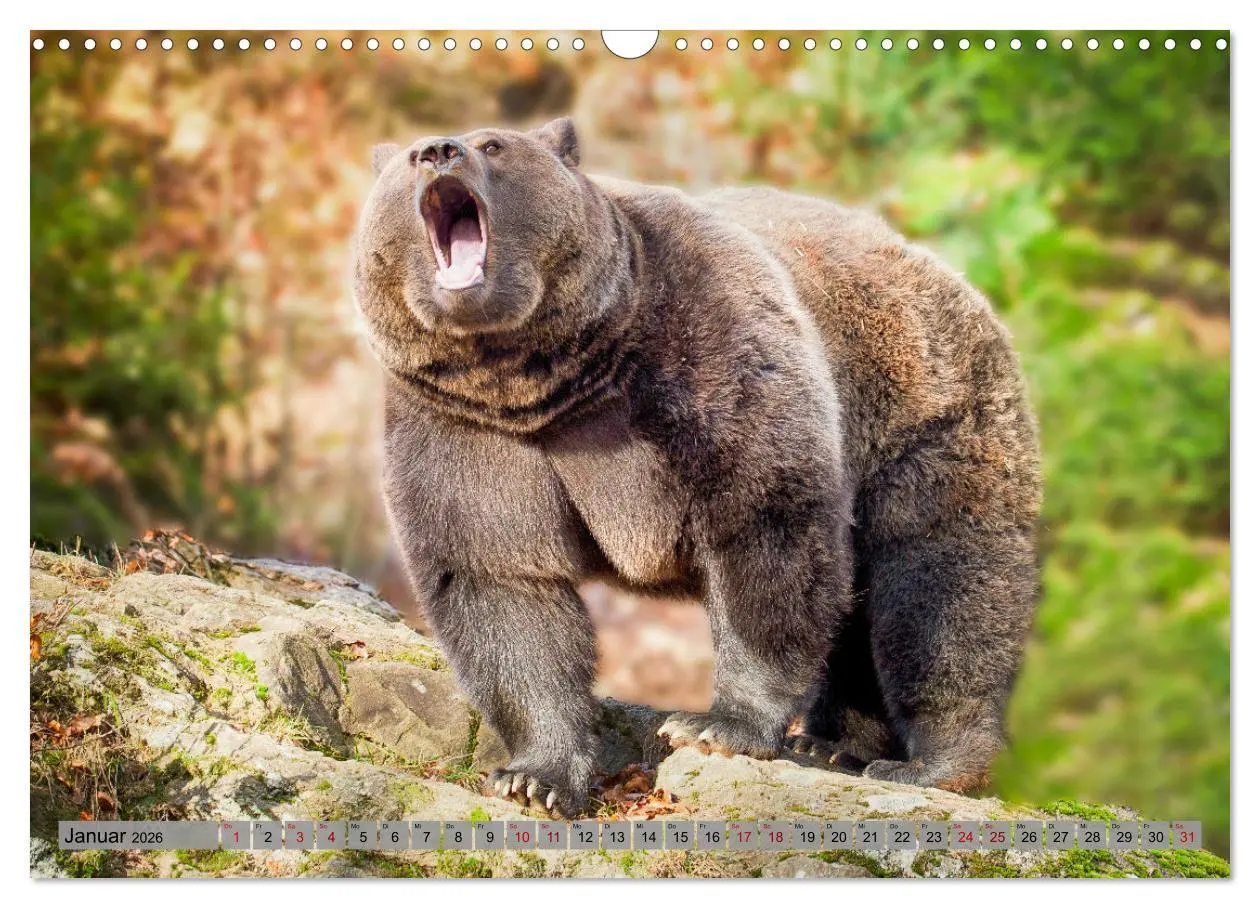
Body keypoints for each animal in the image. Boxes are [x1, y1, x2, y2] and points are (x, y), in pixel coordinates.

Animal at [352, 117, 1042, 816]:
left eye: (494, 144)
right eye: (409, 157)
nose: (440, 151)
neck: (547, 380)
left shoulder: (701, 352)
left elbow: (761, 524)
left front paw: (714, 725)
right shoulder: (464, 428)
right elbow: (502, 581)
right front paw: (535, 776)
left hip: (922, 417)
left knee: (940, 586)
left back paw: (932, 762)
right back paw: (835, 743)